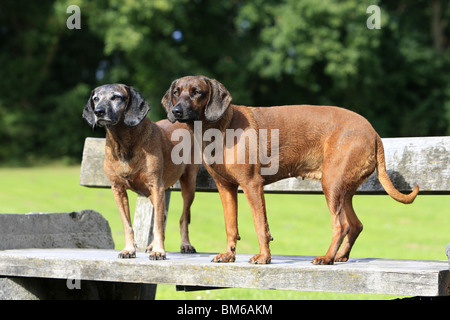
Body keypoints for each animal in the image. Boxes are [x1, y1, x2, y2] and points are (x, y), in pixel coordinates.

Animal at [83, 83, 199, 260]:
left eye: (116, 97)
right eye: (95, 99)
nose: (98, 111)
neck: (123, 142)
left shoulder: (156, 186)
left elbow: (157, 224)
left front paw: (159, 251)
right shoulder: (118, 189)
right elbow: (128, 224)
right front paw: (129, 249)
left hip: (188, 184)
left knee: (183, 217)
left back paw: (185, 245)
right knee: (163, 216)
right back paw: (151, 245)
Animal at [161, 75, 418, 264]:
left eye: (197, 92)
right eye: (176, 92)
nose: (176, 111)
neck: (220, 127)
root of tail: (373, 133)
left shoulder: (252, 185)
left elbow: (260, 224)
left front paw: (264, 257)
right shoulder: (226, 187)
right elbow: (230, 225)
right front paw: (229, 255)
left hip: (331, 184)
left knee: (341, 225)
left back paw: (327, 257)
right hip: (343, 189)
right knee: (355, 225)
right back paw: (341, 256)